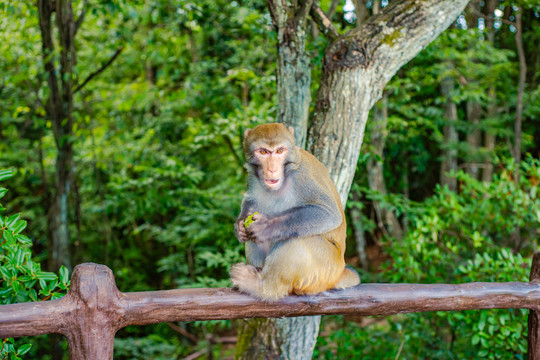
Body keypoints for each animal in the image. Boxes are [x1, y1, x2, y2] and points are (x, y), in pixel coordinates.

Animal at [229, 123, 358, 300]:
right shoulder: (252, 177)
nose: (272, 169)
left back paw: (262, 287)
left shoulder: (303, 176)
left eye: (279, 151)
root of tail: (340, 271)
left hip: (325, 269)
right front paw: (240, 225)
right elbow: (250, 200)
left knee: (297, 239)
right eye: (263, 152)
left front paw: (267, 226)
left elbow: (328, 213)